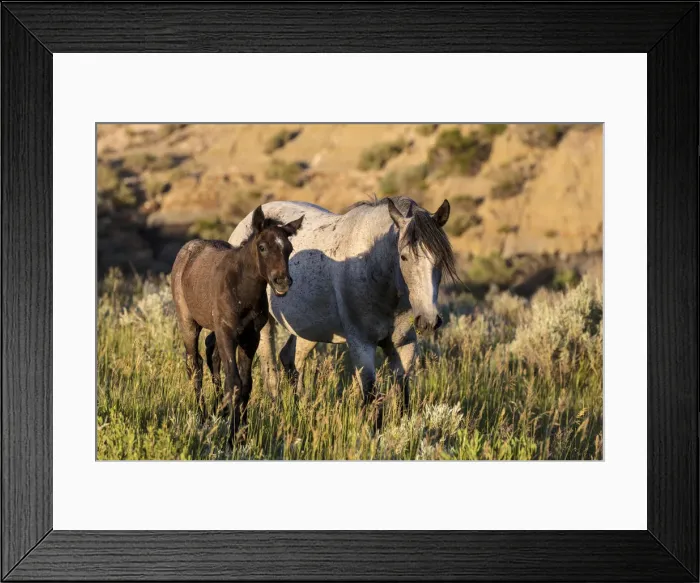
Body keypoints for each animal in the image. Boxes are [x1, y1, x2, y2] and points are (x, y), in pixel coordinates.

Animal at [171, 205, 303, 443]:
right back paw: (202, 415)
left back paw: (219, 409)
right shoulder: (227, 332)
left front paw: (242, 429)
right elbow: (234, 382)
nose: (282, 282)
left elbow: (246, 384)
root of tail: (188, 249)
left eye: (289, 249)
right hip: (188, 322)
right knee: (194, 364)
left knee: (211, 354)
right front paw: (232, 436)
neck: (241, 289)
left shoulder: (250, 337)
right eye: (262, 247)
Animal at [225, 195, 456, 412]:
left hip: (308, 329)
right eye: (404, 257)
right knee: (270, 373)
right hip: (265, 329)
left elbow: (402, 399)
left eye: (440, 258)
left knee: (291, 359)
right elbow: (371, 398)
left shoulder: (404, 345)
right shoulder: (361, 345)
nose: (428, 321)